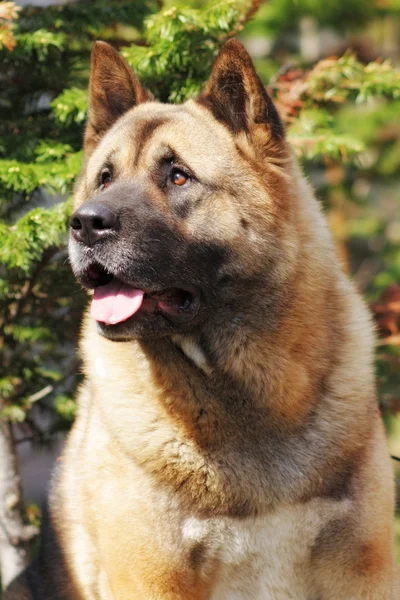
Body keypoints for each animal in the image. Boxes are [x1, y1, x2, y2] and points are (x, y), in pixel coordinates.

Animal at [3, 38, 400, 600]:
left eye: (178, 176)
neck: (239, 394)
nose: (83, 224)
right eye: (104, 178)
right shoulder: (151, 578)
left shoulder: (361, 573)